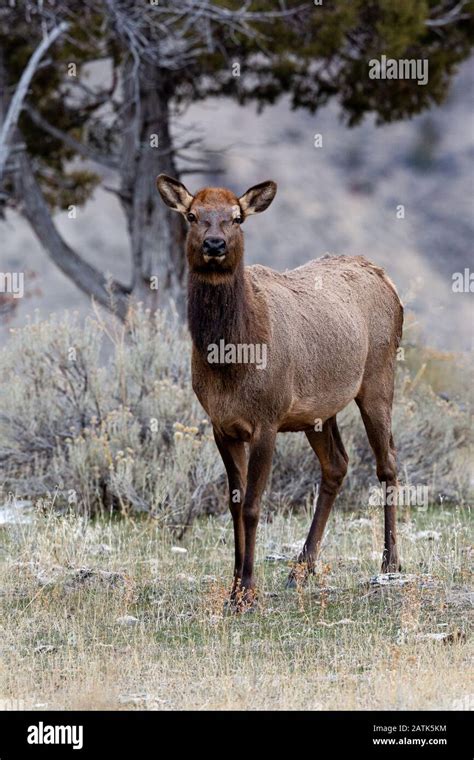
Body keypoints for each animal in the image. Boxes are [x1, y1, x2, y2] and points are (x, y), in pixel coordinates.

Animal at [157, 175, 402, 608]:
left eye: (237, 217)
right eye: (192, 215)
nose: (215, 244)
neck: (231, 362)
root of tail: (386, 279)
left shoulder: (267, 419)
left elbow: (254, 506)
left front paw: (247, 592)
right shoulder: (221, 425)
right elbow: (234, 504)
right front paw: (235, 586)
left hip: (378, 377)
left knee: (387, 461)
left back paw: (391, 563)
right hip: (317, 411)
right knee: (337, 465)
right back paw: (300, 569)